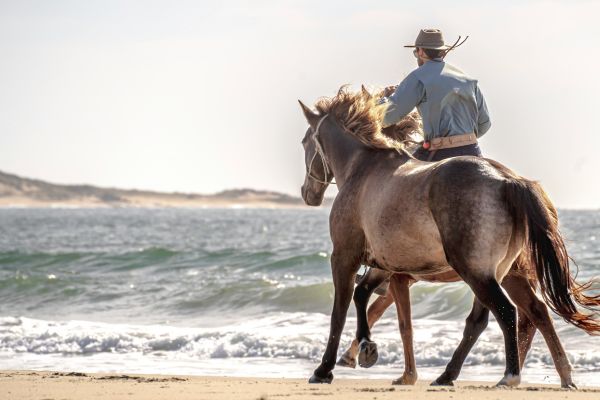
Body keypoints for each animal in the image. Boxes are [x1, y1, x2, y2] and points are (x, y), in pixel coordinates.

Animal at [298, 87, 600, 388]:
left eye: (304, 142)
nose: (307, 193)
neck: (362, 169)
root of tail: (508, 180)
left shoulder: (345, 256)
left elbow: (342, 311)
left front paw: (325, 369)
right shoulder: (385, 266)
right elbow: (365, 298)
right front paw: (367, 348)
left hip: (477, 272)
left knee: (505, 312)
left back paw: (509, 375)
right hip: (500, 273)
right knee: (517, 314)